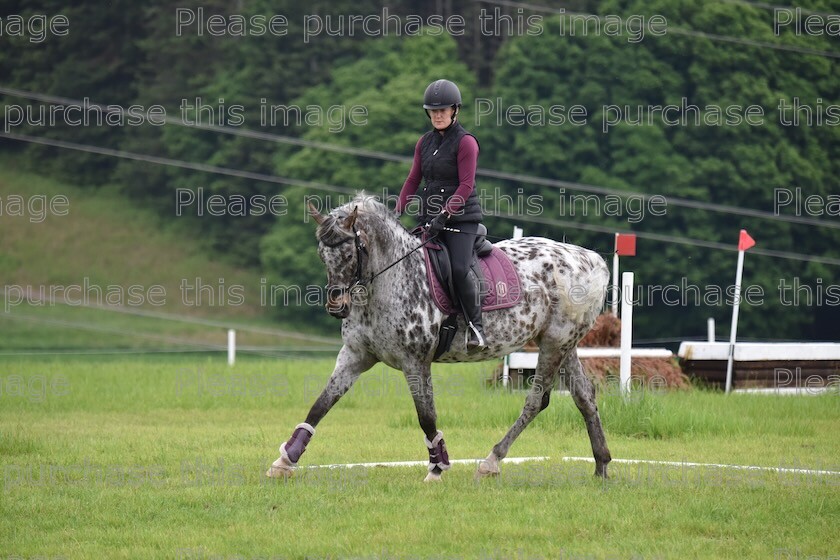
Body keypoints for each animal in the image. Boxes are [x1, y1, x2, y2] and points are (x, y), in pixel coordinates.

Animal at [268, 194, 612, 482]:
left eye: (351, 251)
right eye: (322, 254)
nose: (336, 306)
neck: (389, 281)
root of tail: (591, 259)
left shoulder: (415, 361)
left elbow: (426, 416)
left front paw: (438, 466)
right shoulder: (355, 355)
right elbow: (321, 404)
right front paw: (285, 461)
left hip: (555, 342)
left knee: (537, 400)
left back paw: (491, 461)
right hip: (562, 344)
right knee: (584, 396)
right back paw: (601, 466)